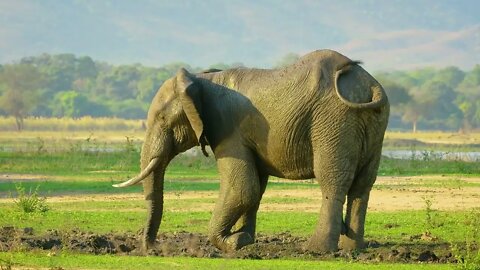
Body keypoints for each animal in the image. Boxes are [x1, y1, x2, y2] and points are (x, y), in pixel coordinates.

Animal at [113, 49, 390, 253]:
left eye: (161, 119)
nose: (152, 248)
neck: (201, 79)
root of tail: (369, 85)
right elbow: (257, 187)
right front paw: (246, 239)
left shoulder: (227, 129)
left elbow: (243, 189)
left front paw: (233, 242)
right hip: (373, 125)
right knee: (362, 185)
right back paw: (352, 249)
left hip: (333, 122)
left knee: (332, 181)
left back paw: (316, 250)